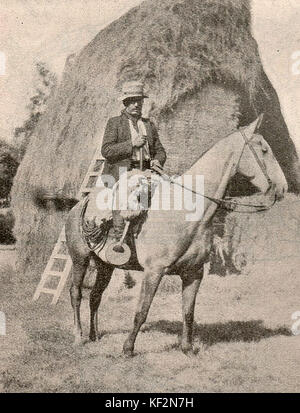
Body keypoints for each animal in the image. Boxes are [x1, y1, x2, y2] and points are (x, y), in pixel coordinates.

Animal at [55, 116, 288, 354]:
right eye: (264, 149)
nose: (283, 187)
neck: (186, 211)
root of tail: (79, 205)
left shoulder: (194, 273)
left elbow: (188, 312)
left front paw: (187, 348)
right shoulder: (154, 271)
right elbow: (141, 311)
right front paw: (128, 349)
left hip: (105, 265)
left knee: (95, 296)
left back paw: (93, 336)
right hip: (80, 259)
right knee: (76, 294)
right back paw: (78, 336)